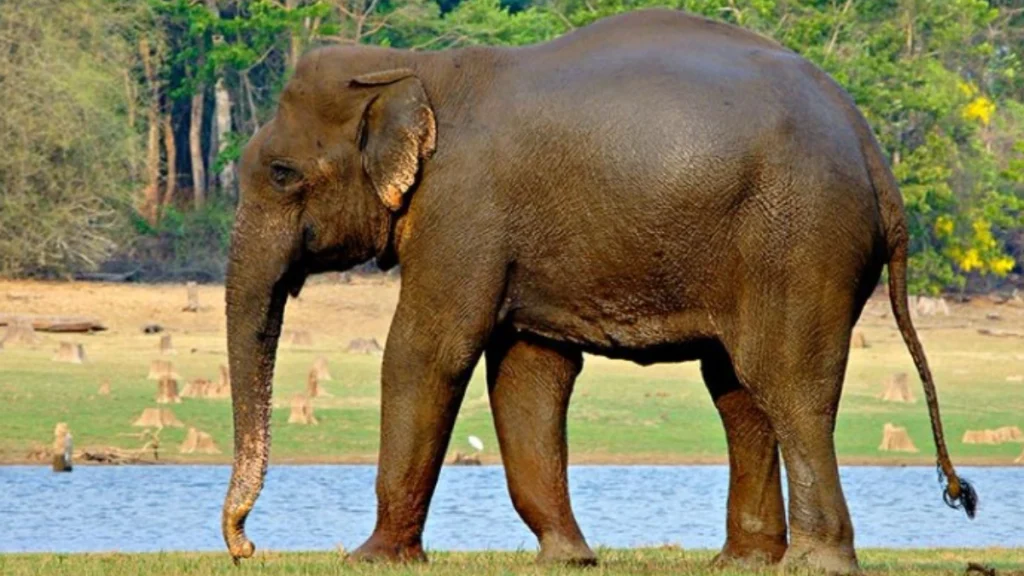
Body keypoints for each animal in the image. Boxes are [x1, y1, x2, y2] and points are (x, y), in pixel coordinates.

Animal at [221, 8, 976, 575]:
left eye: (282, 173)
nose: (246, 546)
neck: (413, 65)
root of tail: (872, 152)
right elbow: (529, 371)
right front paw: (568, 558)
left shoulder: (463, 210)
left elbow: (427, 349)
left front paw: (370, 558)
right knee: (738, 389)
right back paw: (744, 561)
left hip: (800, 238)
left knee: (788, 384)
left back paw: (815, 561)